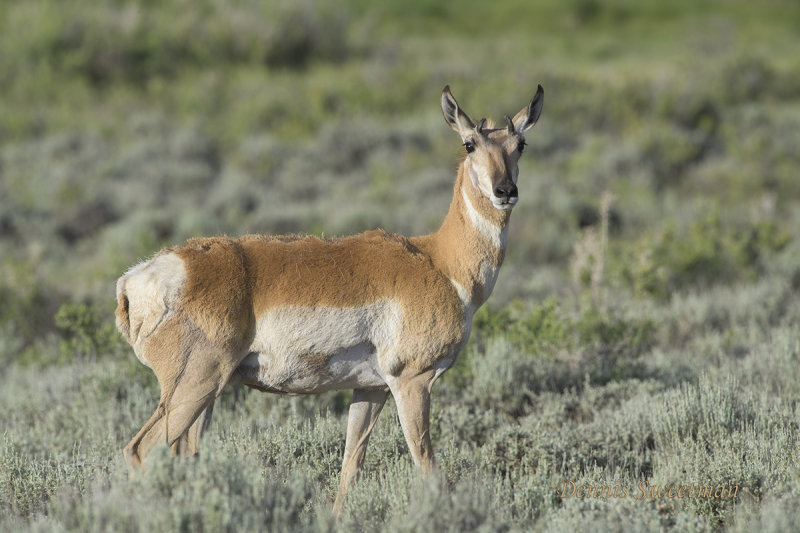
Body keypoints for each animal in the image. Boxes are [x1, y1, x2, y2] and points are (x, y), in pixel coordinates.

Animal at [117, 84, 544, 512]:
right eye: (470, 144)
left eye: (520, 144)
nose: (506, 191)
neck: (440, 261)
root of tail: (139, 279)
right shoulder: (412, 382)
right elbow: (426, 466)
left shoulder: (371, 389)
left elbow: (350, 467)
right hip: (196, 385)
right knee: (140, 450)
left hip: (208, 393)